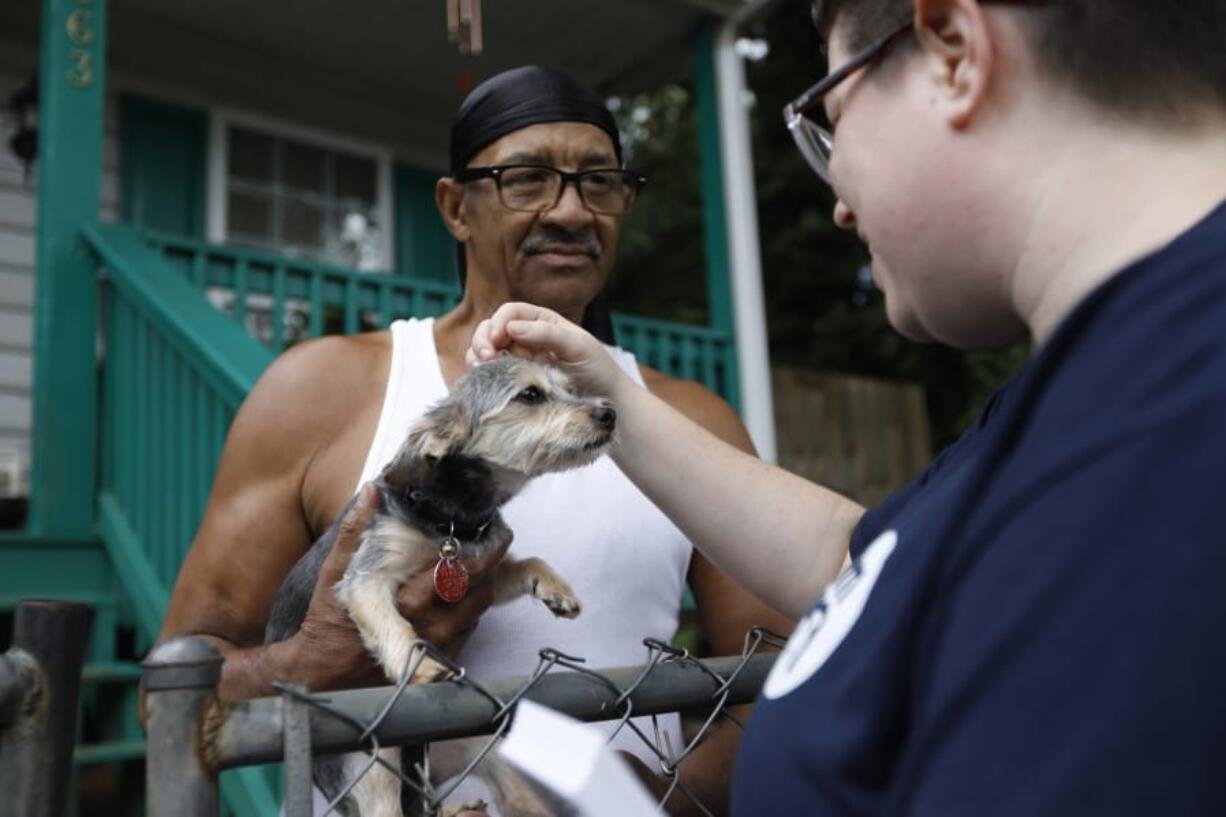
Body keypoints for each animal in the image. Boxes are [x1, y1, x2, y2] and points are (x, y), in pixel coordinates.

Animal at [264, 355, 617, 814]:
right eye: (530, 395)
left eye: (570, 389)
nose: (609, 412)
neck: (452, 520)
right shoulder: (366, 576)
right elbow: (395, 626)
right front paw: (420, 665)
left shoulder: (481, 572)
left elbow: (528, 563)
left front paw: (557, 589)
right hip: (370, 767)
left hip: (480, 741)